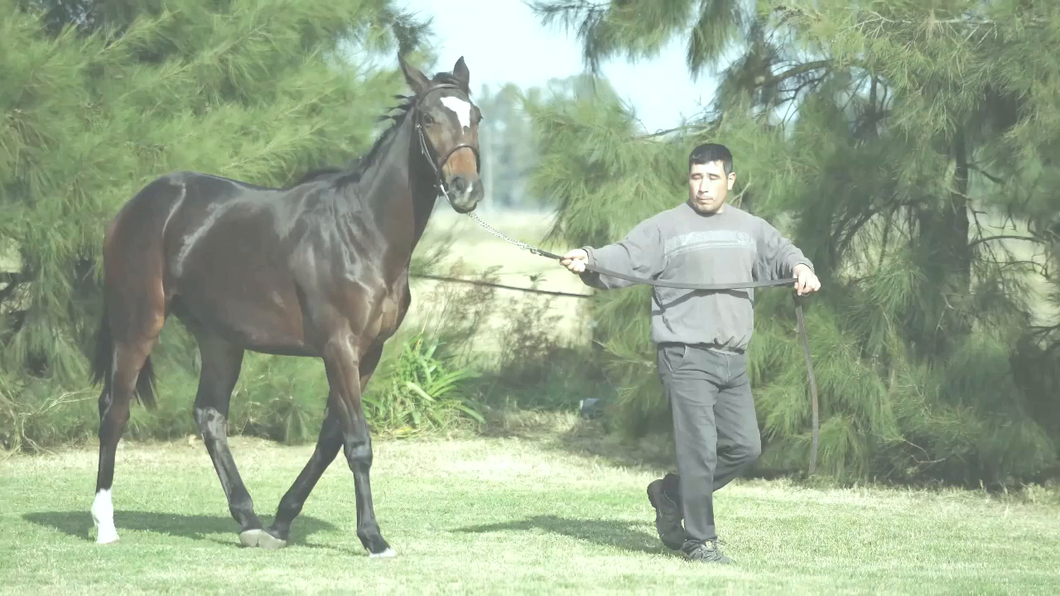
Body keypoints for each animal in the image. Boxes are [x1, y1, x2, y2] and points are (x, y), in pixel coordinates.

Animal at [87, 53, 485, 555]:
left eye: (476, 117)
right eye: (429, 118)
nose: (466, 188)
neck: (362, 230)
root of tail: (135, 206)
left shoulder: (367, 354)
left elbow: (331, 440)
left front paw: (281, 521)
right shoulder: (338, 348)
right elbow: (358, 444)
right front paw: (373, 538)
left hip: (220, 340)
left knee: (209, 416)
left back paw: (249, 519)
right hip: (138, 324)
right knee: (114, 409)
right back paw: (104, 523)